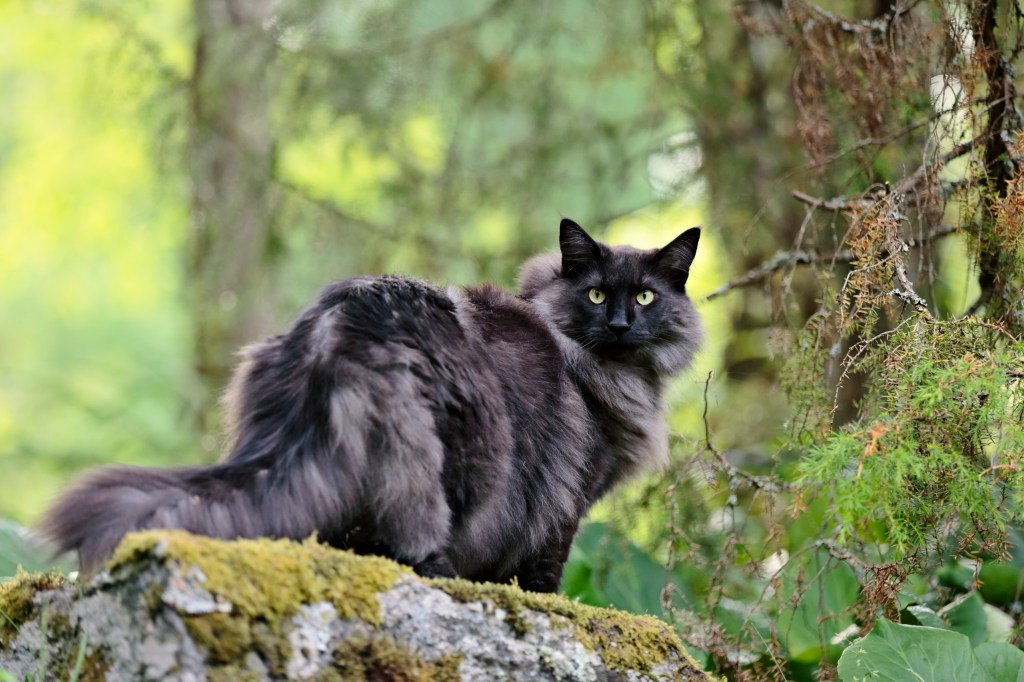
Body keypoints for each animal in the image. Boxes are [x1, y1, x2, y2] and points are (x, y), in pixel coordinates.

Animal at [39, 218, 700, 589]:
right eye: (596, 295)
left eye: (645, 296)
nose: (620, 325)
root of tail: (339, 329)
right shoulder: (566, 501)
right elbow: (542, 574)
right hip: (461, 465)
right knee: (414, 540)